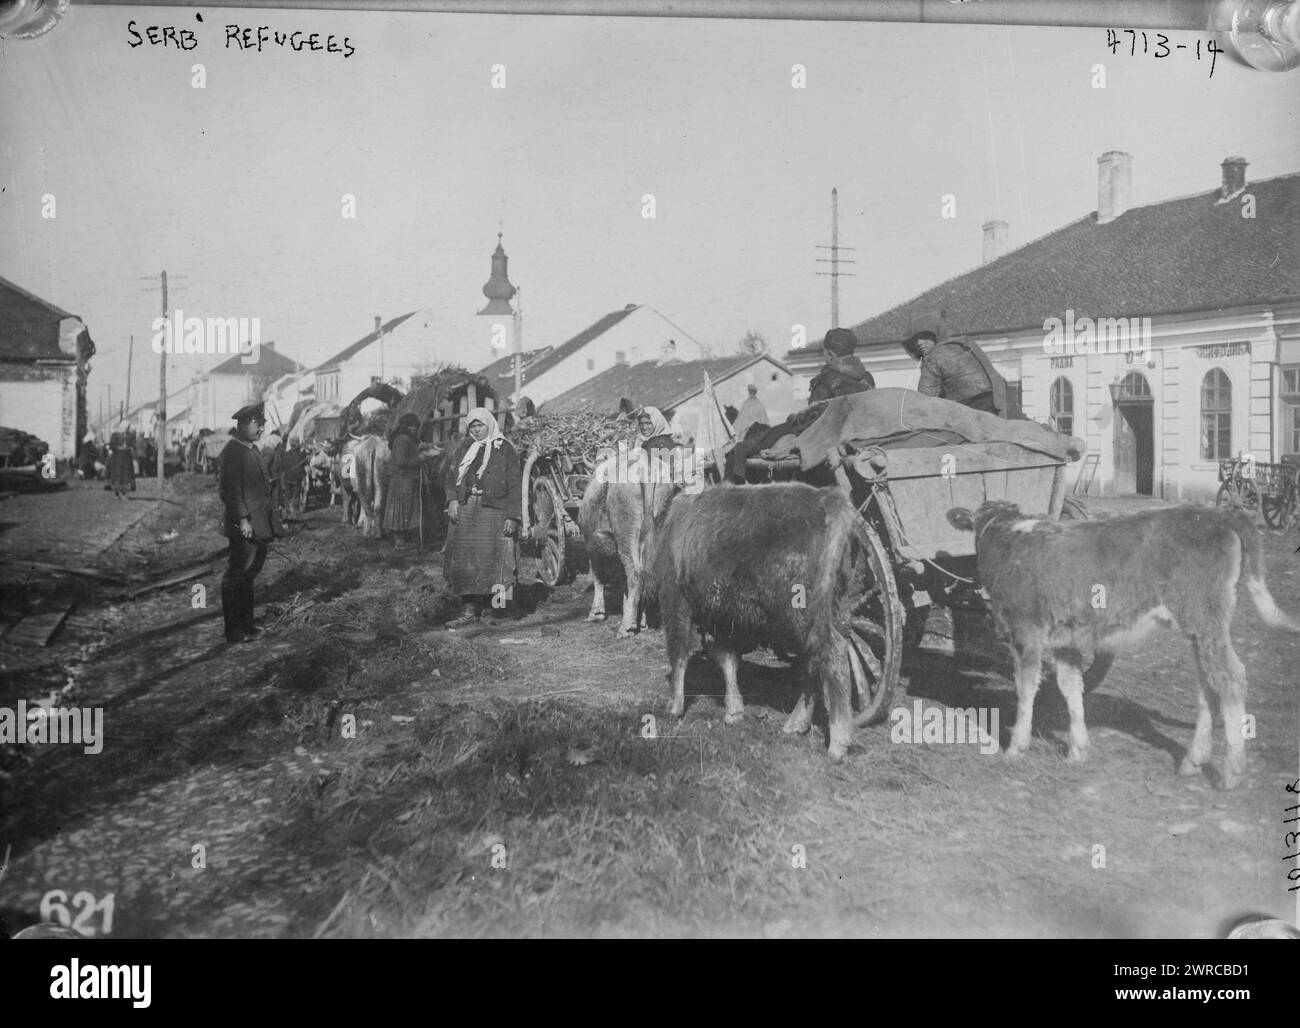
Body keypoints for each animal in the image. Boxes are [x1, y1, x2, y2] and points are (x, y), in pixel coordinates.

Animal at [946, 504, 1300, 790]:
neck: (1008, 539)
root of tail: (1217, 513)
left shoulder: (1026, 633)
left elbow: (1025, 690)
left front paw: (1015, 748)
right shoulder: (1065, 642)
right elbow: (1070, 688)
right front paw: (1077, 750)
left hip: (1207, 619)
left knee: (1230, 679)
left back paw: (1230, 773)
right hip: (1199, 629)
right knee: (1206, 686)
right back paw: (1192, 761)